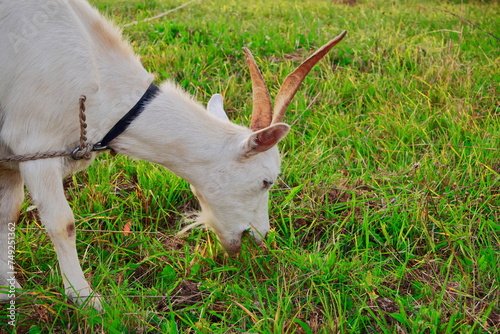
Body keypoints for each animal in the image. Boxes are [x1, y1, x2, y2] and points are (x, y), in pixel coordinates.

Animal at [0, 0, 346, 310]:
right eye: (266, 182)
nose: (261, 235)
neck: (98, 79)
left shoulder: (9, 158)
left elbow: (8, 212)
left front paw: (8, 289)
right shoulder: (35, 143)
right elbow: (63, 224)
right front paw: (85, 298)